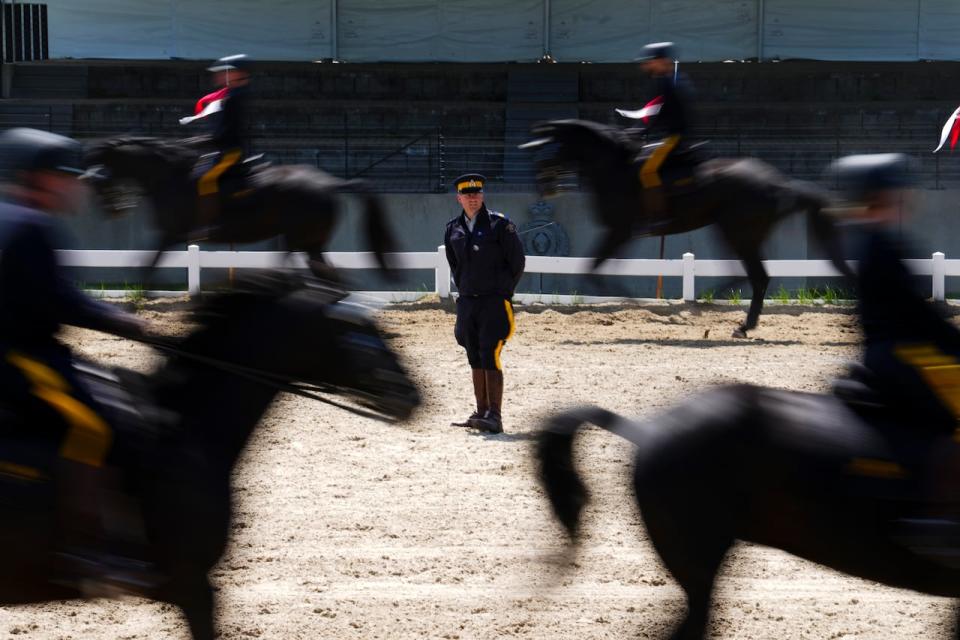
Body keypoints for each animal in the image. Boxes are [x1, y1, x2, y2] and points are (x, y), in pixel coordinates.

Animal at [83, 138, 398, 280]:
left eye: (99, 179)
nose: (114, 211)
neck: (170, 176)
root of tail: (329, 183)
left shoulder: (169, 235)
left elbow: (147, 266)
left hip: (300, 239)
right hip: (310, 242)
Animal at [524, 121, 856, 340]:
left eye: (547, 147)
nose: (543, 184)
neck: (615, 169)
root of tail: (778, 183)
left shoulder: (618, 231)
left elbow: (593, 269)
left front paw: (636, 302)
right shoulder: (621, 234)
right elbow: (597, 268)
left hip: (738, 232)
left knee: (758, 276)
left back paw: (738, 322)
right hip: (728, 231)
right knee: (747, 274)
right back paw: (718, 305)